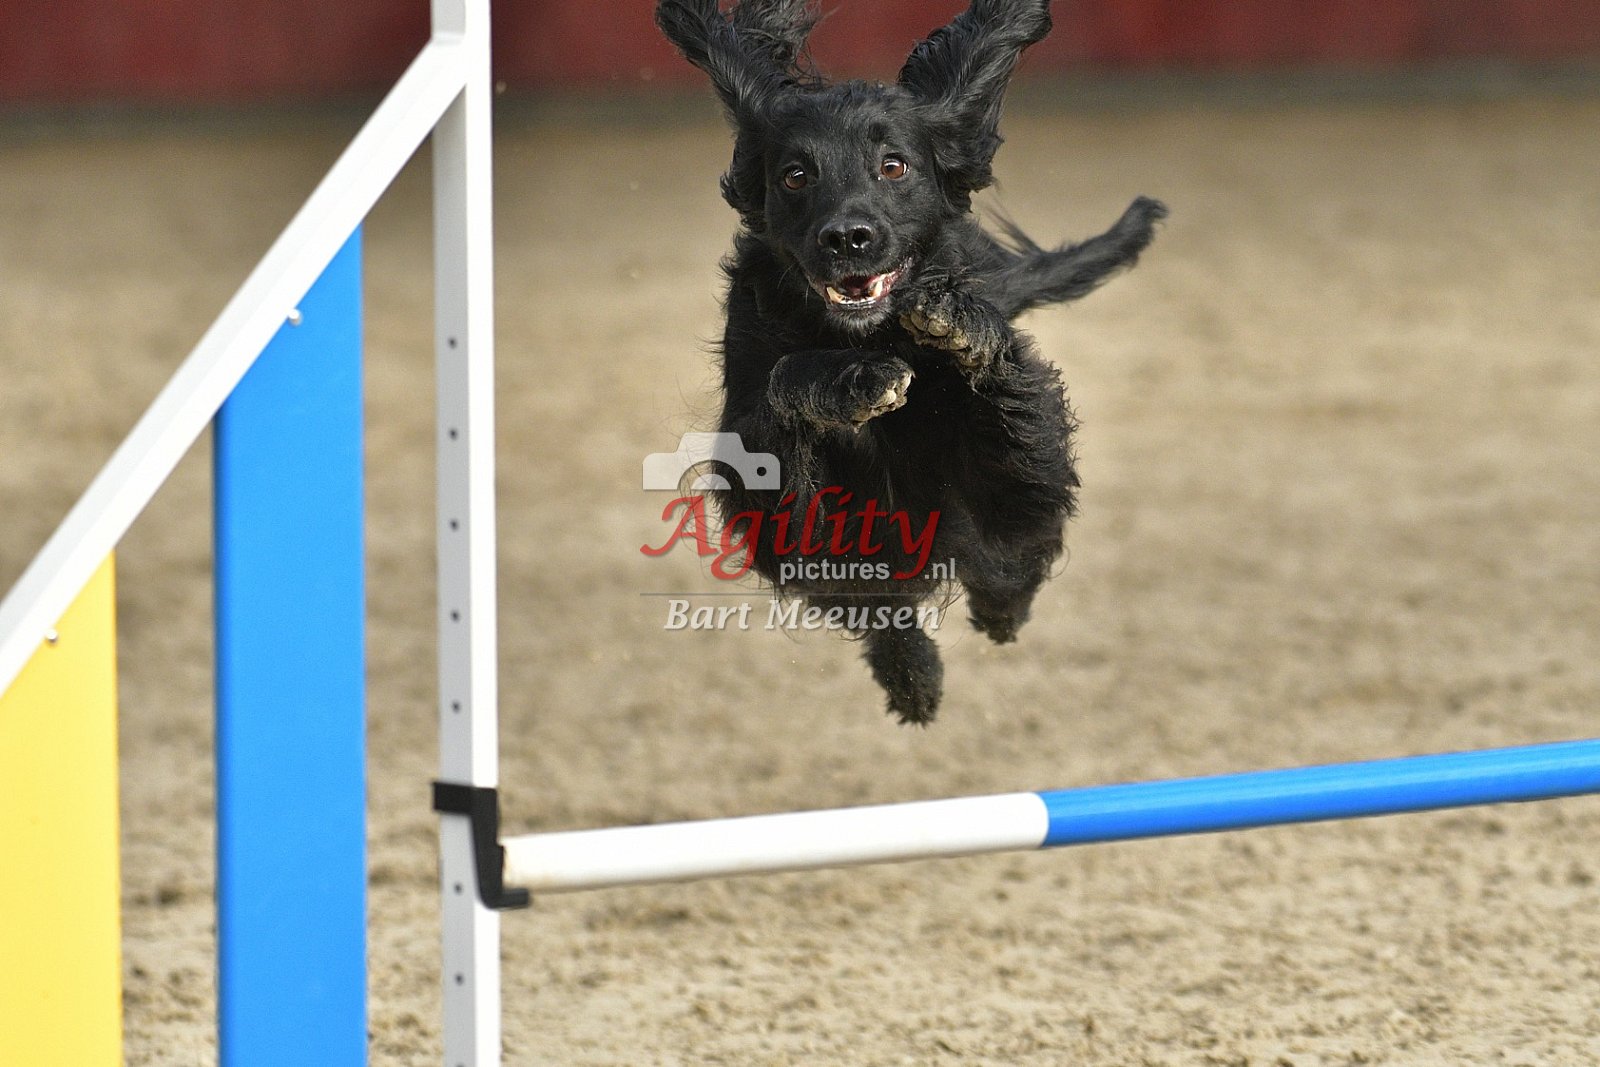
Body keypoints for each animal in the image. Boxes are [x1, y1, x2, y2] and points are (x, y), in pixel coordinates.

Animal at [656, 0, 1165, 724]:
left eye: (893, 166)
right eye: (795, 175)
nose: (847, 238)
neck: (865, 333)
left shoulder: (1010, 468)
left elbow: (1019, 457)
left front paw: (961, 333)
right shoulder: (772, 484)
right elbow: (784, 389)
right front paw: (853, 383)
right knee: (881, 610)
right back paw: (913, 677)